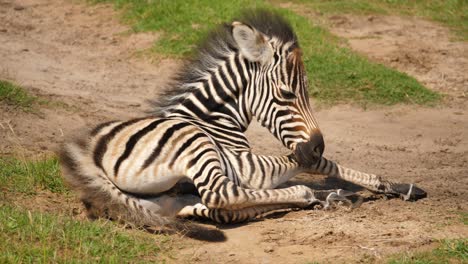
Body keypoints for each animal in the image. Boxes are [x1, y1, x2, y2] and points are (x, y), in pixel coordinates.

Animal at [61, 9, 428, 225]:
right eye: (286, 94)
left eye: (309, 93)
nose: (317, 146)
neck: (213, 119)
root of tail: (91, 155)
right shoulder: (247, 165)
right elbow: (317, 165)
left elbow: (316, 165)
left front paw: (391, 186)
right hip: (202, 151)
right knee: (225, 196)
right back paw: (311, 196)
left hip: (170, 191)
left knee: (211, 206)